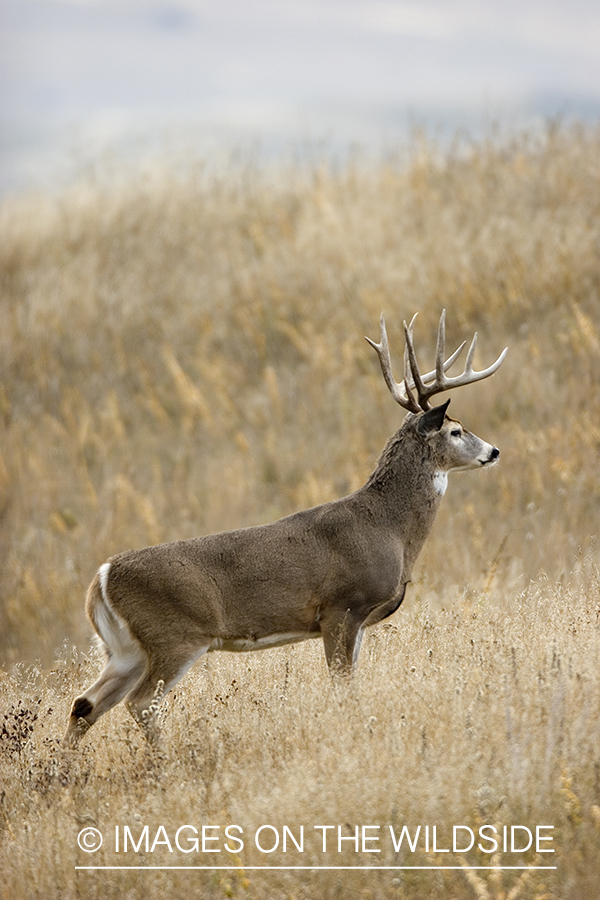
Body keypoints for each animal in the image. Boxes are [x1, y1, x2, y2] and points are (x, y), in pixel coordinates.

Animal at [64, 312, 506, 748]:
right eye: (455, 430)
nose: (493, 451)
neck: (388, 527)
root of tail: (101, 578)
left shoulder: (358, 620)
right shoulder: (341, 607)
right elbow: (342, 688)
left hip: (125, 649)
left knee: (85, 704)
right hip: (175, 636)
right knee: (138, 704)